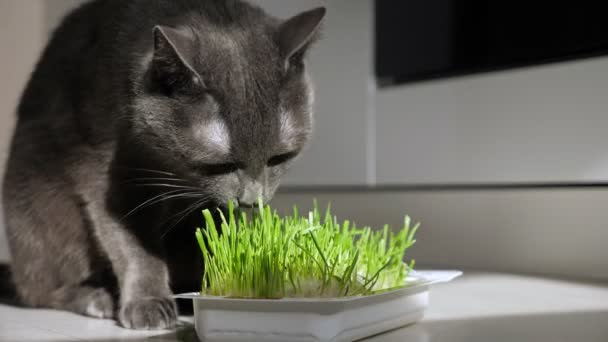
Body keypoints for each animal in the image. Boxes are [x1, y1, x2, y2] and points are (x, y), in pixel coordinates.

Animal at [2, 0, 326, 332]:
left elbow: (208, 242)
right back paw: (96, 299)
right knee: (41, 288)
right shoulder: (107, 176)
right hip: (43, 217)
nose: (251, 200)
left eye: (279, 157)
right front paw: (148, 303)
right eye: (221, 163)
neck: (171, 171)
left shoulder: (205, 209)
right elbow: (133, 246)